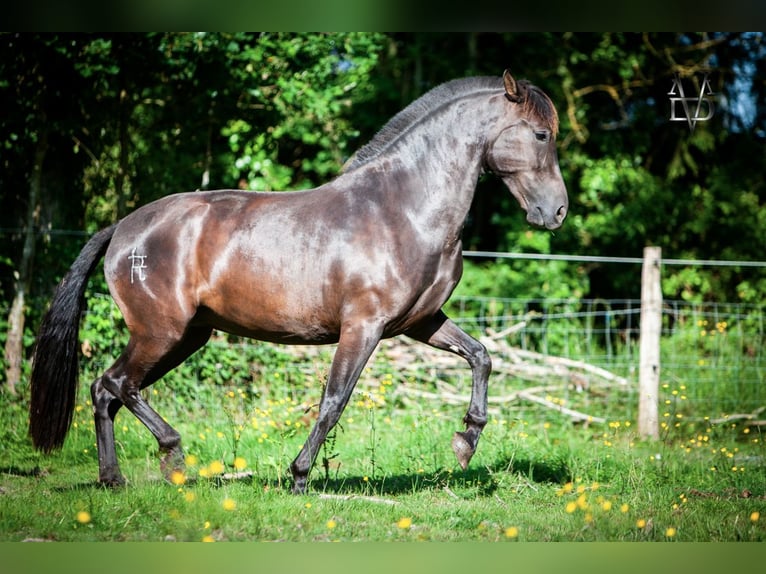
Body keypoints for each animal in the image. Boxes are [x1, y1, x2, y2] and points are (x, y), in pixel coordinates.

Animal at [28, 71, 568, 496]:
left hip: (187, 336)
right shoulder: (364, 327)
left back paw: (114, 479)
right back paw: (171, 456)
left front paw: (466, 441)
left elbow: (481, 356)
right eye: (542, 134)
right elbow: (334, 401)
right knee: (116, 384)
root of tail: (122, 228)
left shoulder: (420, 322)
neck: (402, 209)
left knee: (108, 391)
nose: (557, 211)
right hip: (161, 332)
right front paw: (301, 476)